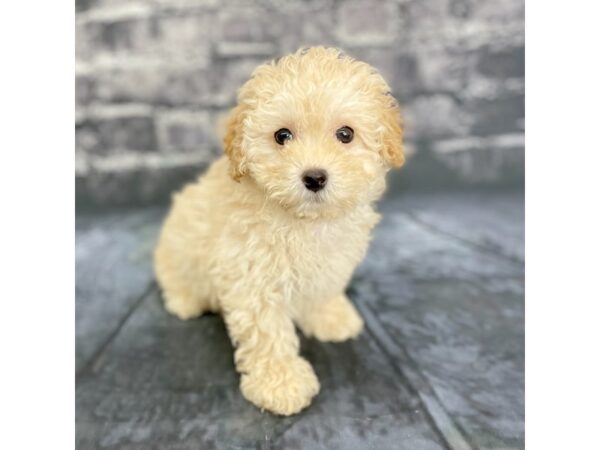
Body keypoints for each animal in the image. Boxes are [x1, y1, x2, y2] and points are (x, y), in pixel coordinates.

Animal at [155, 47, 406, 416]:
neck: (304, 220)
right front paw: (281, 383)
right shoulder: (250, 277)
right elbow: (267, 334)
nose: (314, 177)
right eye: (282, 135)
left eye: (345, 134)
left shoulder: (329, 263)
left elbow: (324, 290)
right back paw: (187, 301)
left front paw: (330, 317)